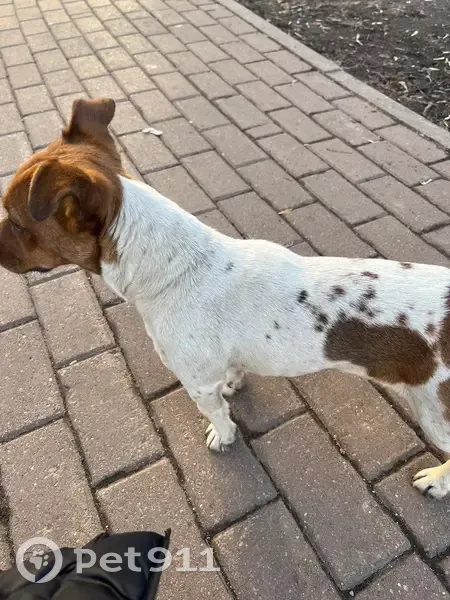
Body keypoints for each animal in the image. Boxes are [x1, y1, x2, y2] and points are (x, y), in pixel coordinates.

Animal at [1, 97, 449, 500]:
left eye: (17, 223)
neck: (175, 269)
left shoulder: (197, 382)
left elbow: (217, 415)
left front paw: (223, 434)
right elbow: (234, 374)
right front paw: (235, 383)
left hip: (435, 412)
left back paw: (436, 481)